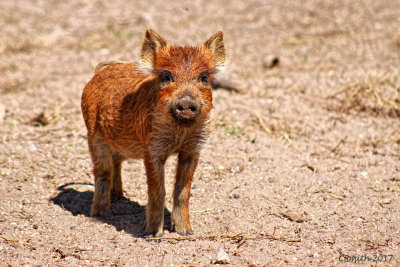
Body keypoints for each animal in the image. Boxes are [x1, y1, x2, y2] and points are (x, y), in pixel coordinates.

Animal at [81, 29, 225, 238]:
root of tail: (100, 72)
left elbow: (182, 190)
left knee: (116, 164)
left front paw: (186, 232)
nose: (186, 102)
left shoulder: (193, 149)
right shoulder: (152, 149)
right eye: (166, 76)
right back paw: (98, 215)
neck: (180, 131)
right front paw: (153, 235)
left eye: (204, 77)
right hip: (93, 137)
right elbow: (158, 190)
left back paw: (118, 197)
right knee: (102, 173)